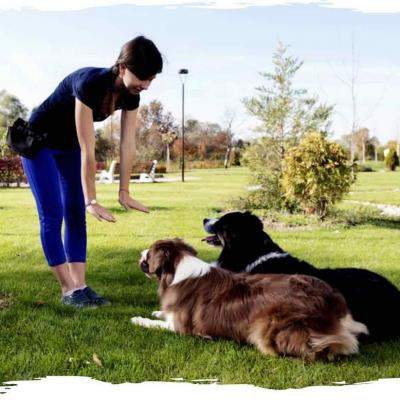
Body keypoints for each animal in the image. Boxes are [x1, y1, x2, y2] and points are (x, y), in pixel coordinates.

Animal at [130, 239, 368, 360]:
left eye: (148, 254)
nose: (139, 253)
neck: (177, 269)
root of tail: (332, 300)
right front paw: (157, 311)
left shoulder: (181, 328)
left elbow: (154, 323)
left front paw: (138, 319)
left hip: (270, 325)